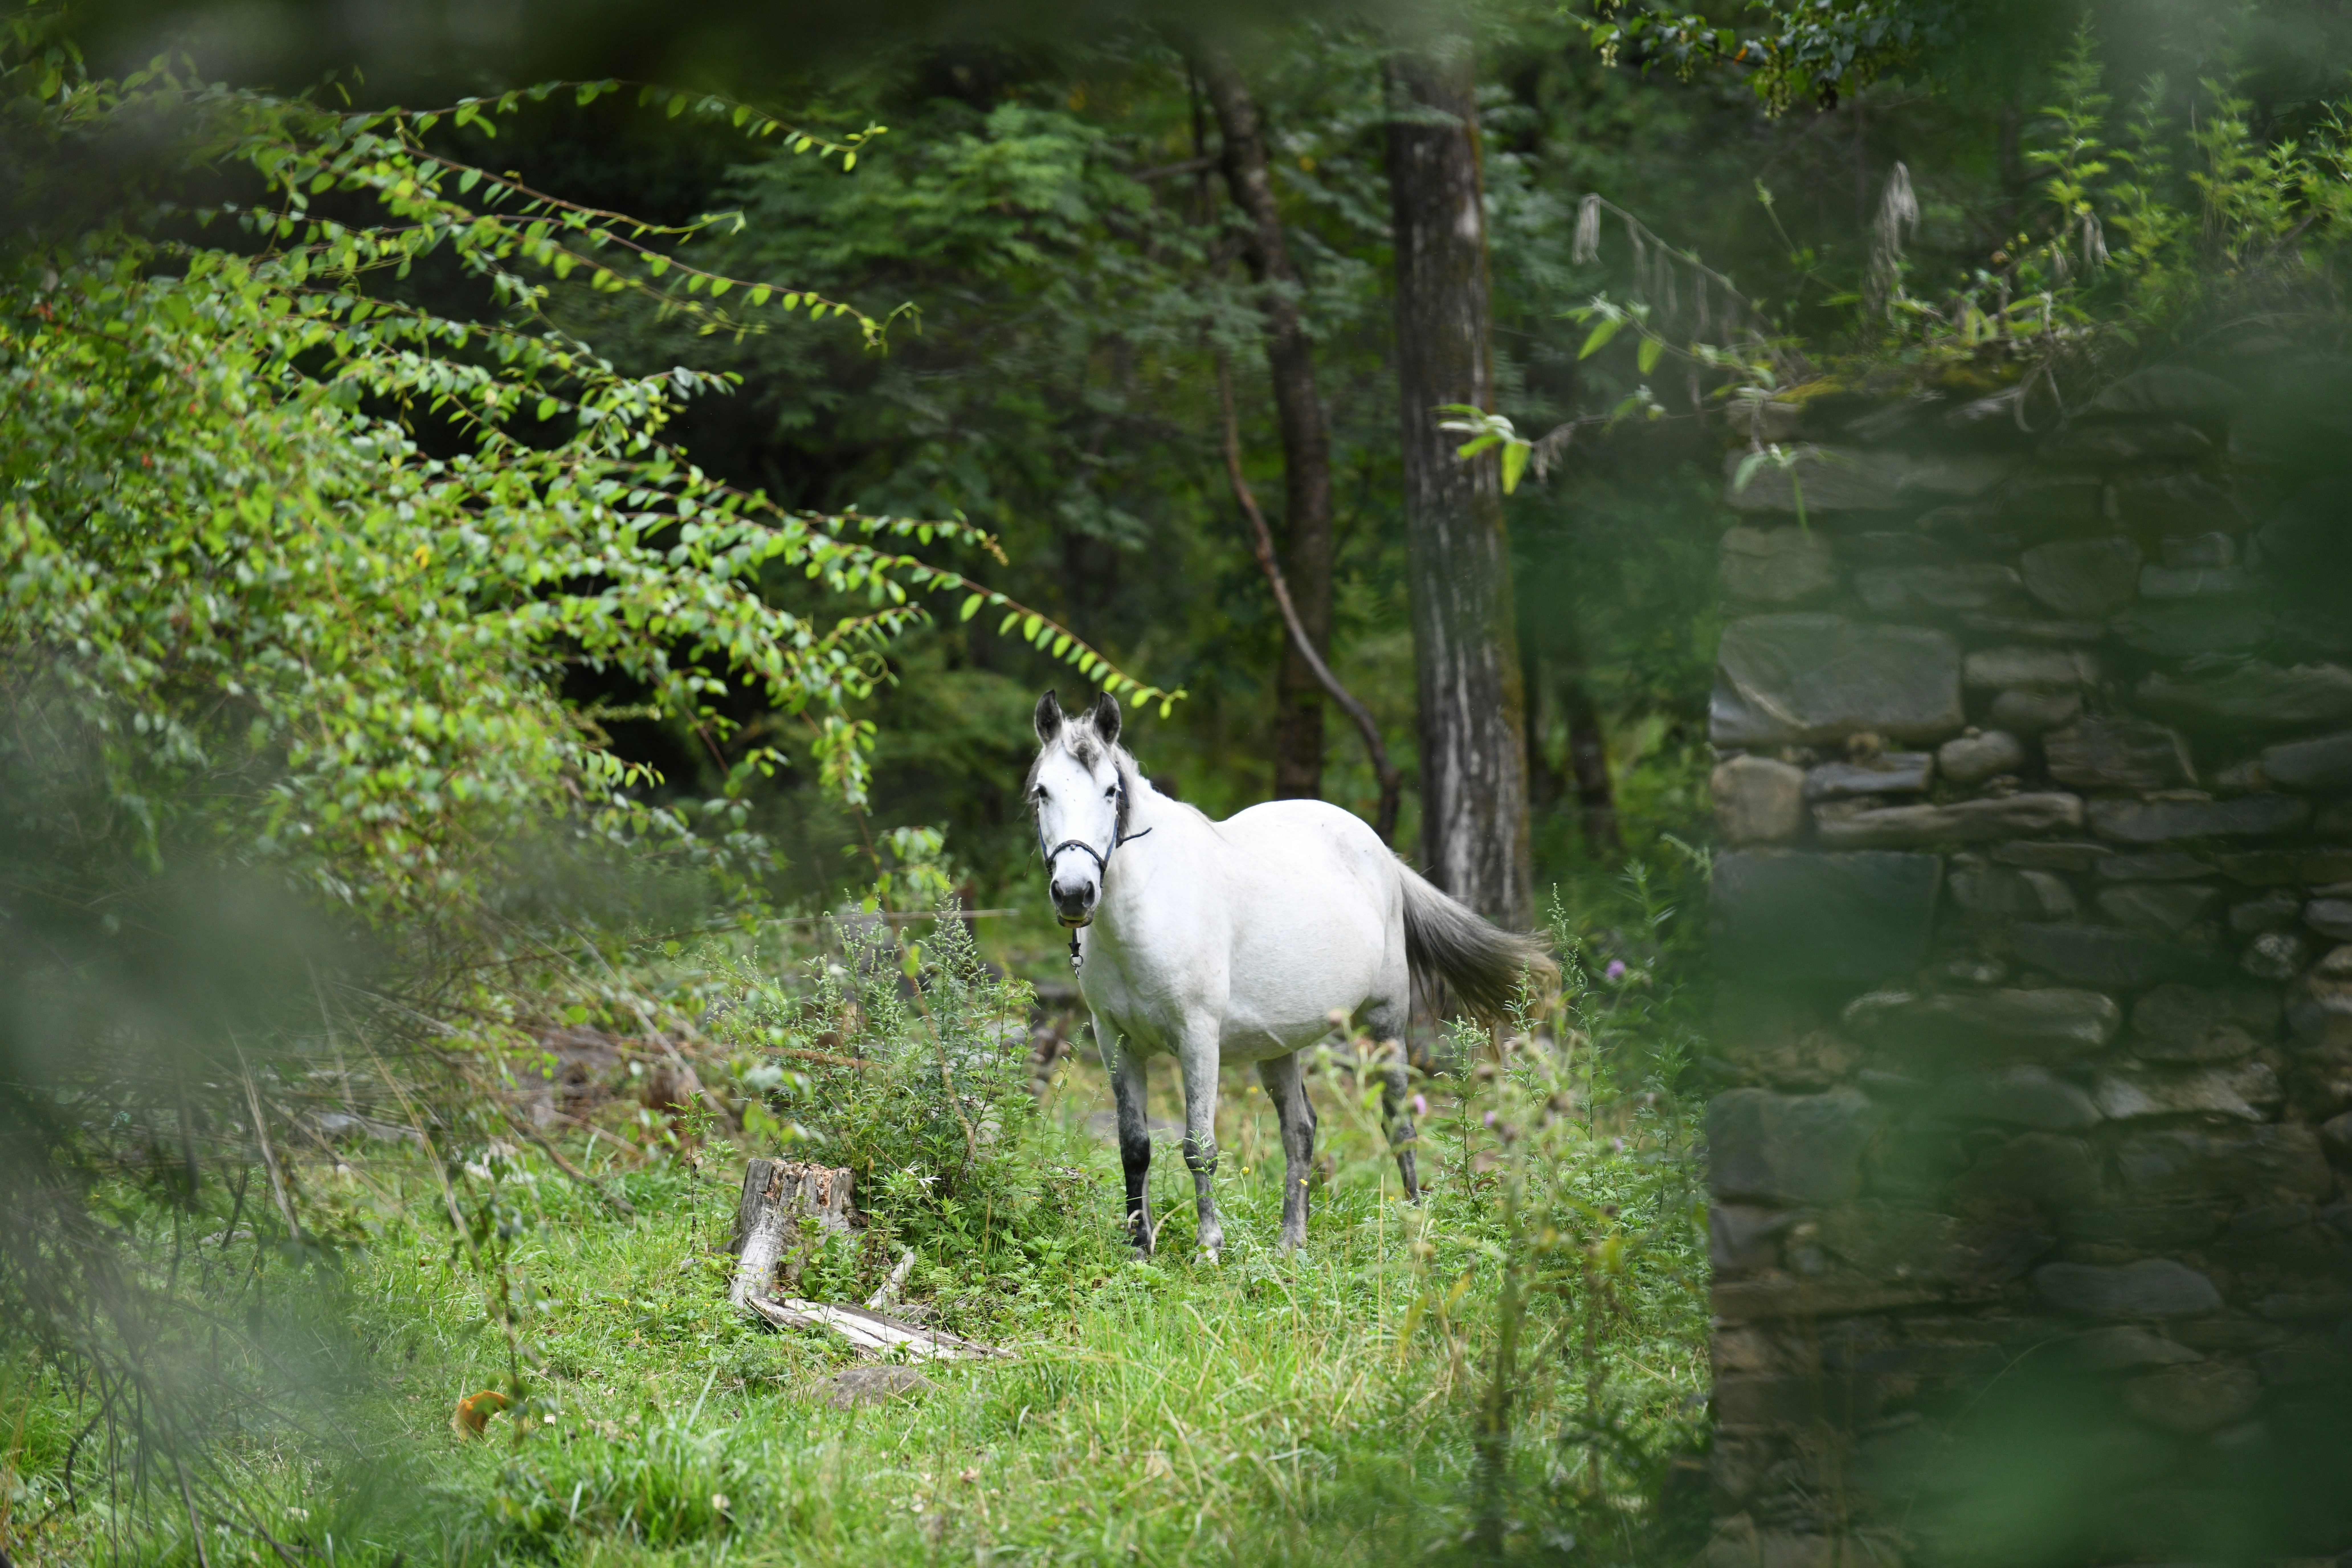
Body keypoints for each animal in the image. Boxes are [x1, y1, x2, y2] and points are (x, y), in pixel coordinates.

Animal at [1026, 688, 1552, 1257]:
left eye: (1110, 791)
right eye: (1042, 791)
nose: (1074, 893)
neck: (1150, 907)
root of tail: (1382, 854)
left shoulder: (1197, 1038)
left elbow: (1199, 1147)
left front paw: (1209, 1248)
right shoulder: (1115, 1041)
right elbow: (1134, 1146)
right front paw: (1140, 1248)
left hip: (1385, 1021)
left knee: (1399, 1123)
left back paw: (1414, 1224)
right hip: (1277, 1045)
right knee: (1300, 1128)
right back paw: (1291, 1243)